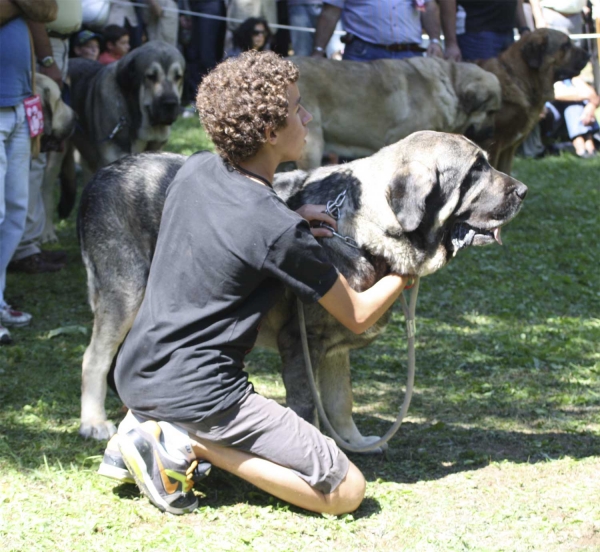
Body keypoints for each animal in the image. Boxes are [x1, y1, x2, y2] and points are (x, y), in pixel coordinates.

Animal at [77, 133, 528, 444]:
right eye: (475, 171)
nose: (523, 191)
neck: (365, 225)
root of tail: (100, 175)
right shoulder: (302, 343)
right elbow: (308, 405)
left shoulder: (334, 348)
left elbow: (341, 400)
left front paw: (352, 441)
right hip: (126, 295)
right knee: (94, 359)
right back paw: (94, 422)